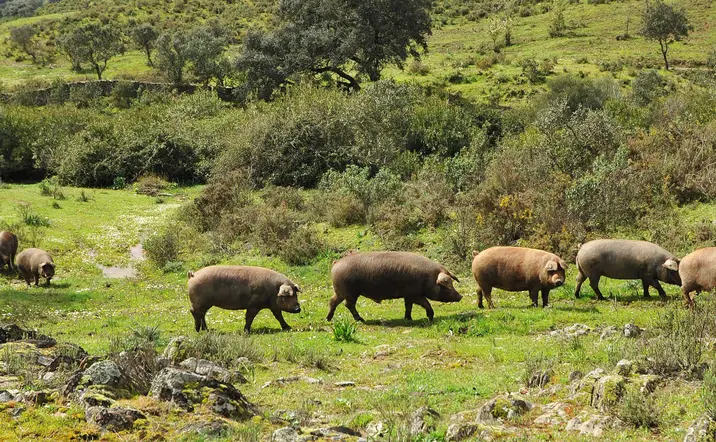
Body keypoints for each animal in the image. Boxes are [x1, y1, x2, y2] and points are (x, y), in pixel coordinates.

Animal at [326, 251, 462, 322]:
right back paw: (361, 319)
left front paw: (408, 319)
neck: (429, 278)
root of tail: (336, 263)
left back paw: (328, 319)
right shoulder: (415, 294)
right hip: (349, 292)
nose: (460, 296)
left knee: (333, 301)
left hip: (340, 291)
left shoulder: (408, 296)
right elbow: (426, 303)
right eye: (447, 285)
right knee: (348, 305)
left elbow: (408, 307)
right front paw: (430, 318)